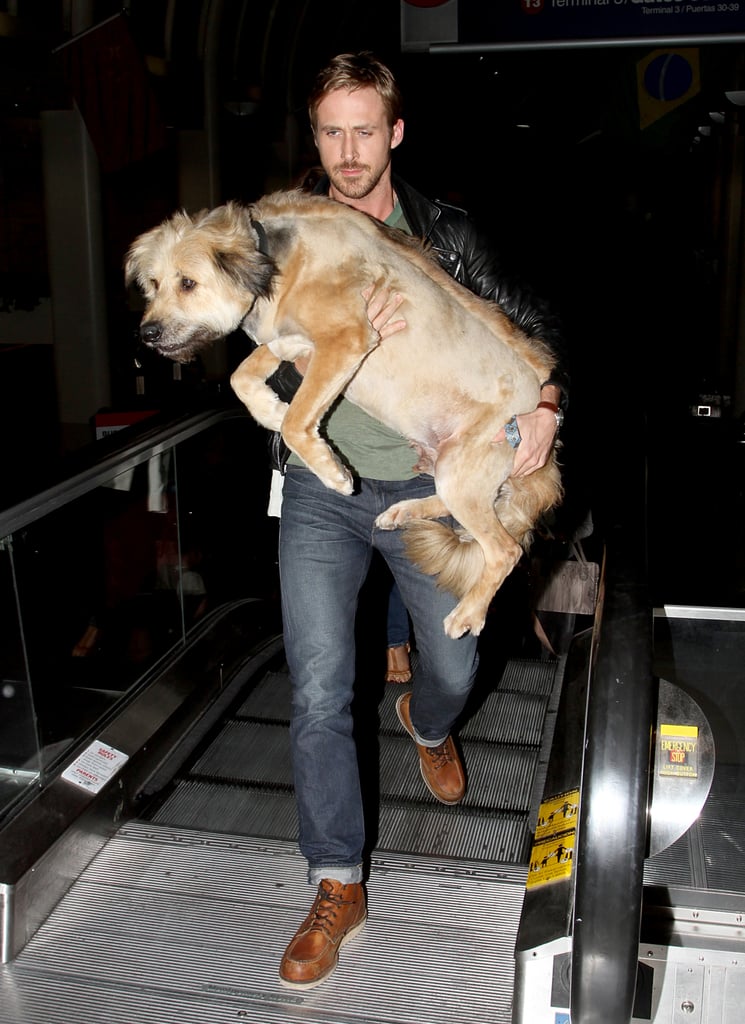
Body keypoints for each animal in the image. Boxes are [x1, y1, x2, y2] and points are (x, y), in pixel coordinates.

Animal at [125, 191, 560, 634]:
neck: (273, 260)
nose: (147, 334)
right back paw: (403, 511)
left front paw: (331, 470)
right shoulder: (292, 341)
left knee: (504, 550)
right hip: (449, 466)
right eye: (154, 284)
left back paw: (468, 613)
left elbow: (296, 421)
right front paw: (270, 410)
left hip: (462, 466)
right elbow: (240, 378)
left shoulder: (345, 338)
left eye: (188, 283)